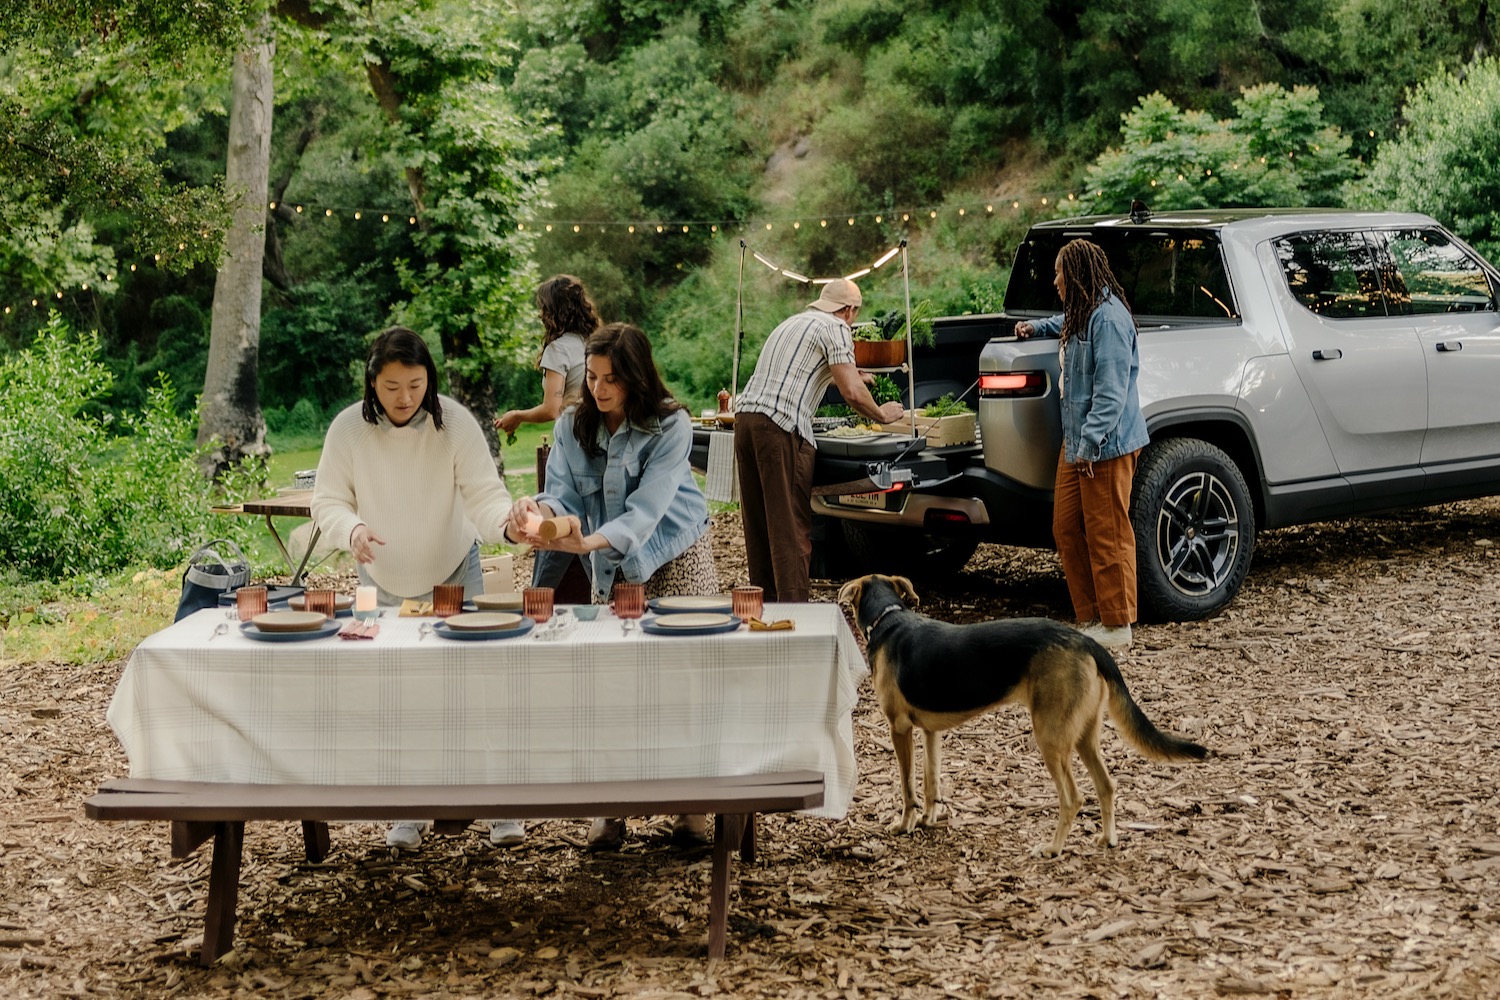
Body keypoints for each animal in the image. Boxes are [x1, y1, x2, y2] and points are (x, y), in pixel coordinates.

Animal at [840, 575, 1212, 857]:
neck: (889, 619)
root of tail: (1087, 643)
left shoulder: (899, 729)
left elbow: (907, 788)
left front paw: (905, 824)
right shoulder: (931, 732)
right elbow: (932, 782)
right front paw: (929, 819)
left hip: (1050, 739)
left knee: (1073, 798)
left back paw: (1053, 849)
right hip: (1084, 736)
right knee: (1106, 786)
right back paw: (1108, 839)